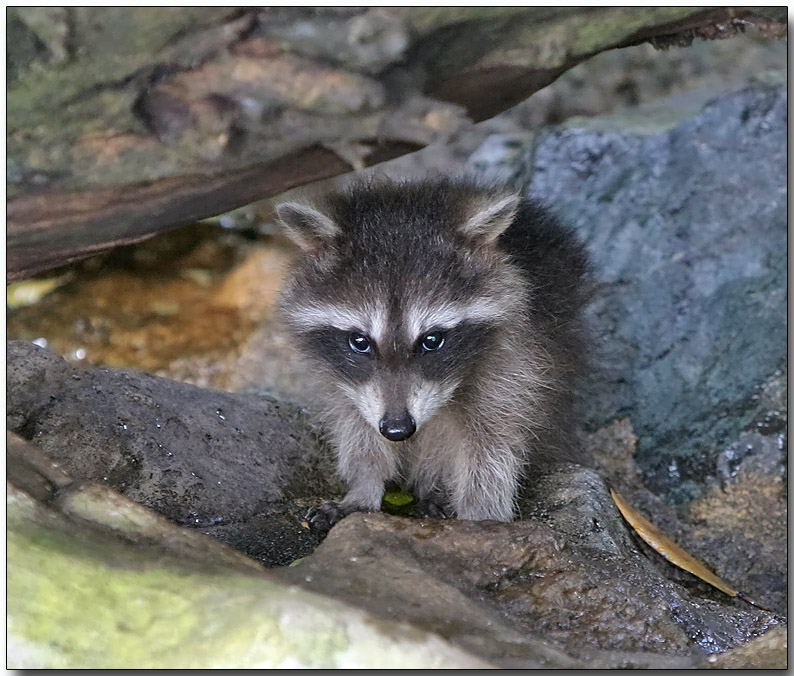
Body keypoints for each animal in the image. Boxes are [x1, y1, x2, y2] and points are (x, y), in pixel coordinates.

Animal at [276, 177, 584, 532]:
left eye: (432, 340)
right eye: (359, 341)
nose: (397, 429)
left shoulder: (517, 364)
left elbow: (493, 444)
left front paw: (482, 514)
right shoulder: (345, 382)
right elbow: (357, 429)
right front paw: (364, 487)